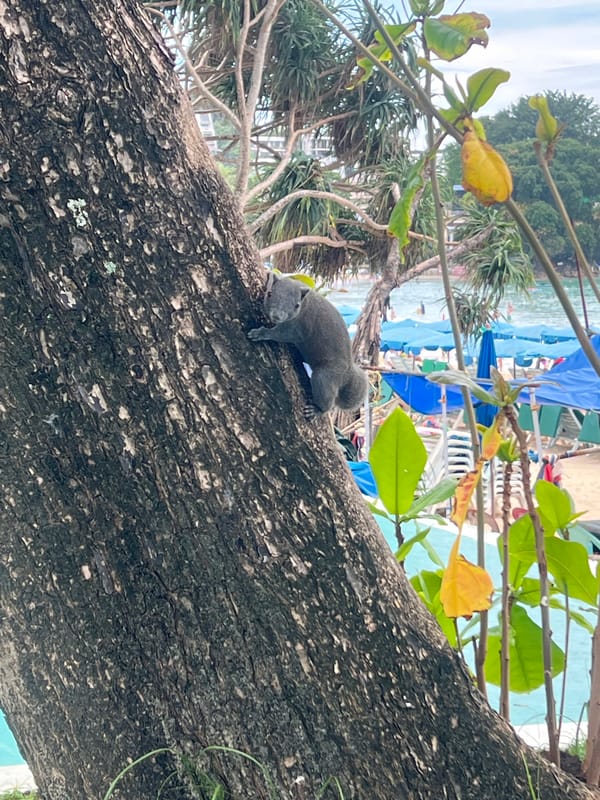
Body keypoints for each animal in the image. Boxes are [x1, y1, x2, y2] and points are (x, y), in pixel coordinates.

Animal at [248, 272, 368, 418]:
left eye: (296, 305)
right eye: (269, 293)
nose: (277, 316)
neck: (306, 302)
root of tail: (347, 373)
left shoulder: (300, 328)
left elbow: (281, 334)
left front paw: (261, 333)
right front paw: (270, 274)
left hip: (325, 376)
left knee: (327, 400)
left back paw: (317, 410)